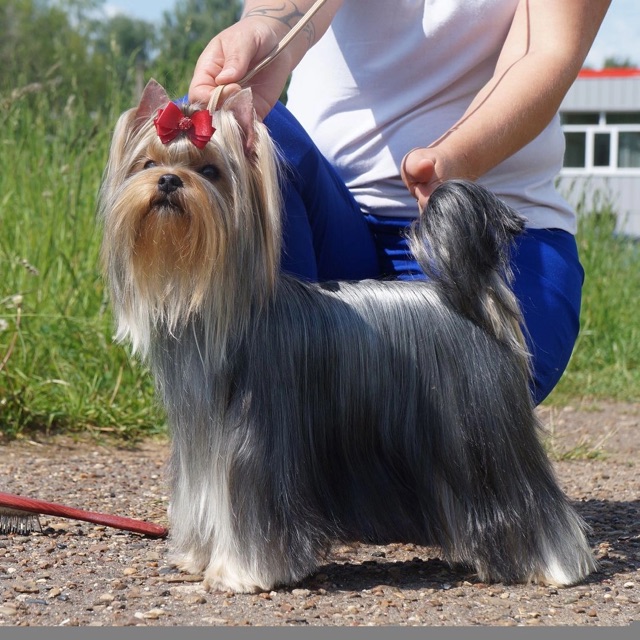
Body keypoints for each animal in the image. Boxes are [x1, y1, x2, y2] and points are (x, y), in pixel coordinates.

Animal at [96, 80, 596, 596]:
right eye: (147, 164)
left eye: (210, 171)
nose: (168, 181)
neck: (214, 306)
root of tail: (471, 300)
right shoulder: (201, 447)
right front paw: (197, 557)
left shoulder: (255, 454)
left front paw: (238, 573)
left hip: (485, 440)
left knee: (530, 503)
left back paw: (553, 565)